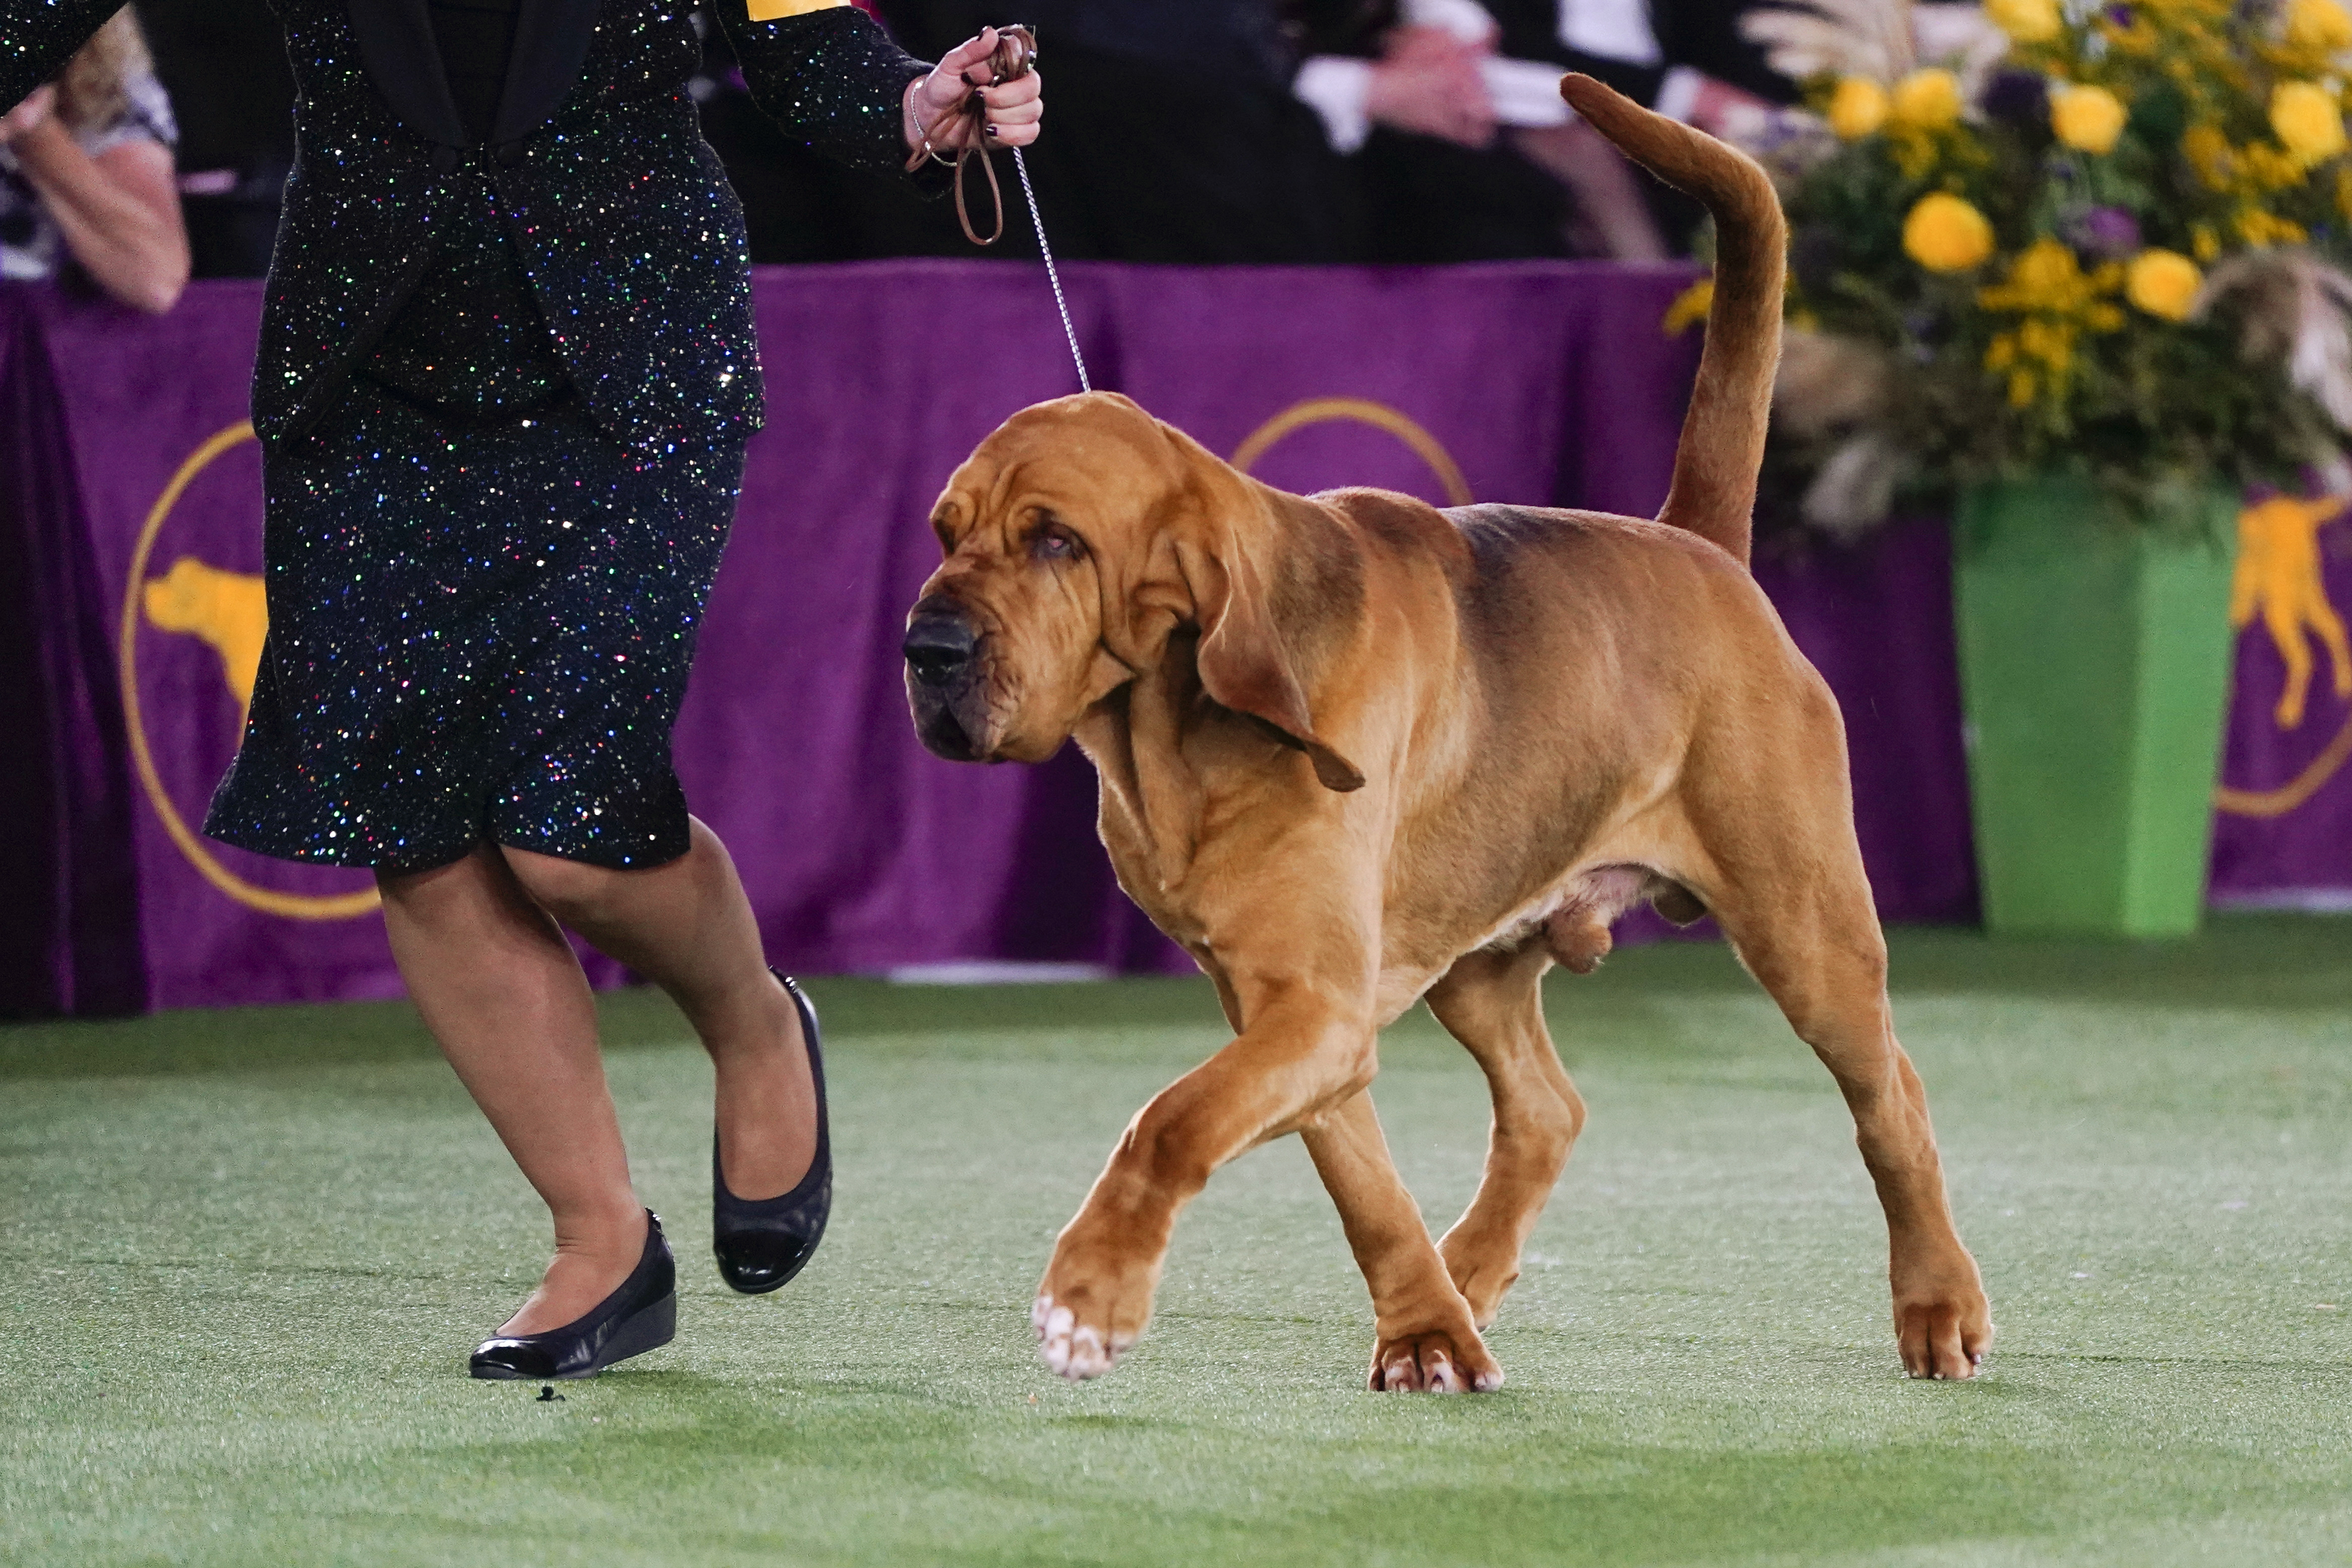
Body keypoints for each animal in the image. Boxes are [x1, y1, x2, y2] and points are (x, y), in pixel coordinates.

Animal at [898, 80, 1985, 1391]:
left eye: (1056, 541)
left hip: (1807, 930)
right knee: (1548, 1108)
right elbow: (1358, 1179)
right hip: (1480, 952)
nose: (926, 649)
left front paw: (1090, 1293)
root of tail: (1697, 546)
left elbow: (1165, 1122)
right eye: (945, 530)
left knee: (1894, 1102)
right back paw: (1467, 1274)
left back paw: (1937, 1304)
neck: (1176, 731)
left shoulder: (1312, 1006)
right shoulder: (1293, 1012)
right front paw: (1423, 1327)